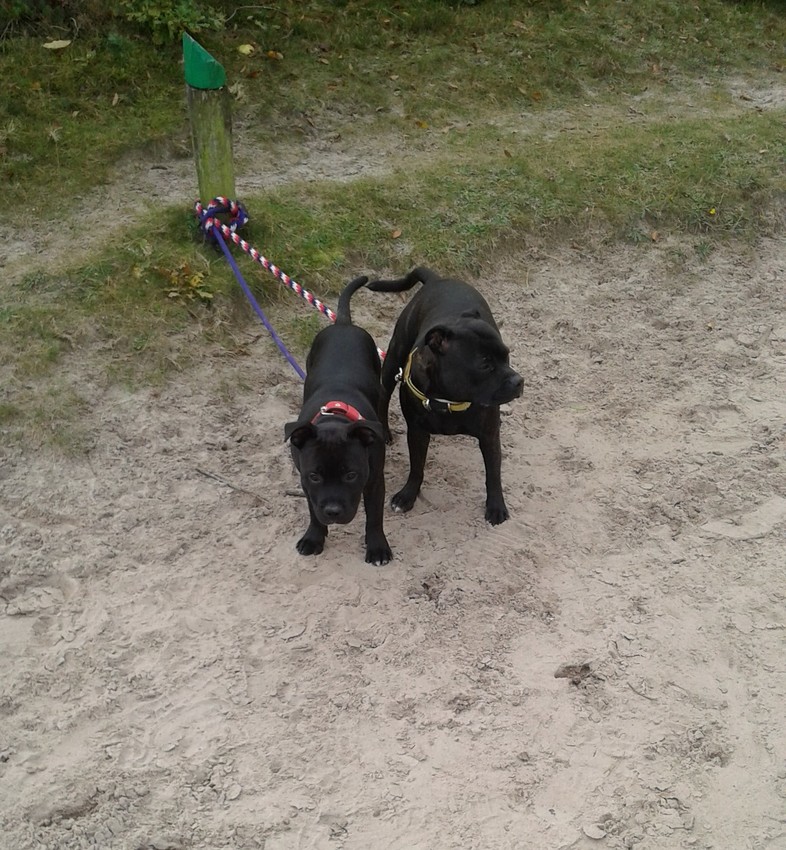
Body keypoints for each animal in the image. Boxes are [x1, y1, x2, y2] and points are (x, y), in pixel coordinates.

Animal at [284, 275, 392, 565]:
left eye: (351, 475)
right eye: (315, 475)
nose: (333, 511)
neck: (335, 419)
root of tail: (343, 323)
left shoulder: (374, 481)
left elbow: (375, 517)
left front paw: (377, 547)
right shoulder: (306, 483)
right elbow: (313, 511)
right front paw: (314, 538)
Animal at [366, 266, 523, 525]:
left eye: (507, 355)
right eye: (485, 364)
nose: (519, 381)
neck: (449, 399)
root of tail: (436, 278)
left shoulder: (490, 435)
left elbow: (493, 474)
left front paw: (496, 506)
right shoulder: (417, 432)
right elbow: (416, 468)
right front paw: (407, 496)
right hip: (392, 362)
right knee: (383, 398)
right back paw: (385, 432)